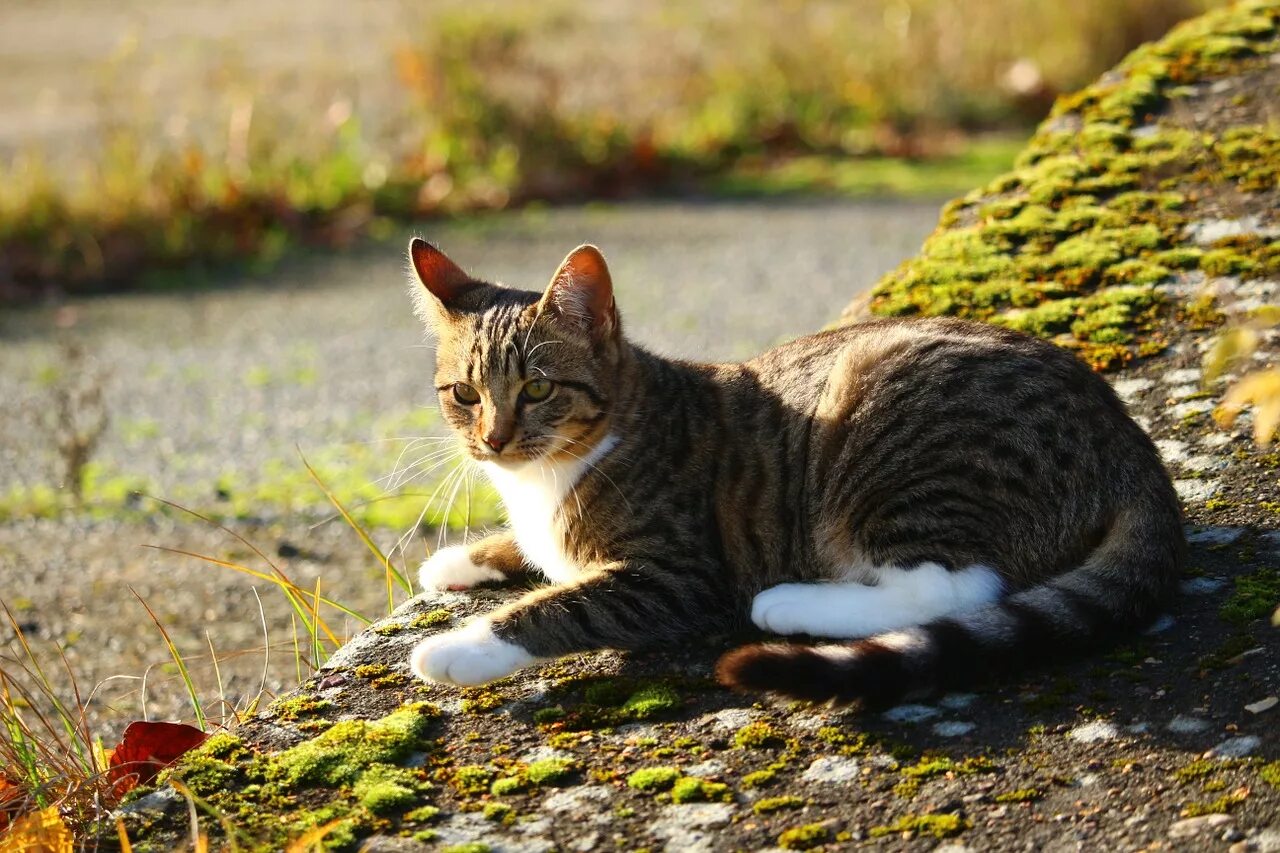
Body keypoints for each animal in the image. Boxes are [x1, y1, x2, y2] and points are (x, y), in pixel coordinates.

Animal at [404, 236, 1182, 701]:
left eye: (538, 389)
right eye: (464, 394)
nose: (493, 440)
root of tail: (1126, 435)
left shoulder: (679, 574)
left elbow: (565, 602)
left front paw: (459, 646)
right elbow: (534, 552)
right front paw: (463, 558)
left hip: (895, 435)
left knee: (954, 586)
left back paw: (790, 603)